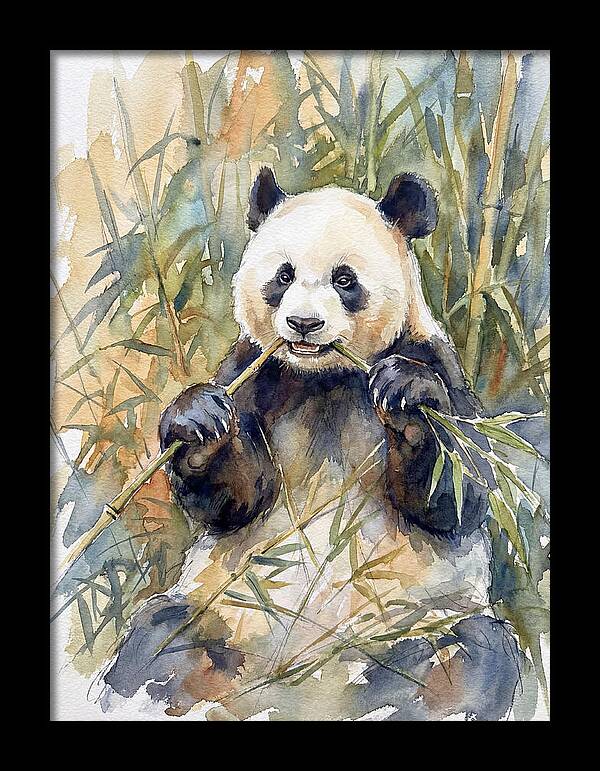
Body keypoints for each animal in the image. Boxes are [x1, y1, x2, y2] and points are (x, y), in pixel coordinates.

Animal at [102, 169, 523, 721]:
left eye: (345, 280)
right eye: (283, 276)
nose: (303, 324)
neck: (325, 378)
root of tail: (299, 684)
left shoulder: (433, 358)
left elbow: (457, 493)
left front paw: (407, 397)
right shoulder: (255, 371)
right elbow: (238, 499)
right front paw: (197, 422)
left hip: (415, 625)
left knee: (471, 657)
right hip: (222, 614)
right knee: (155, 643)